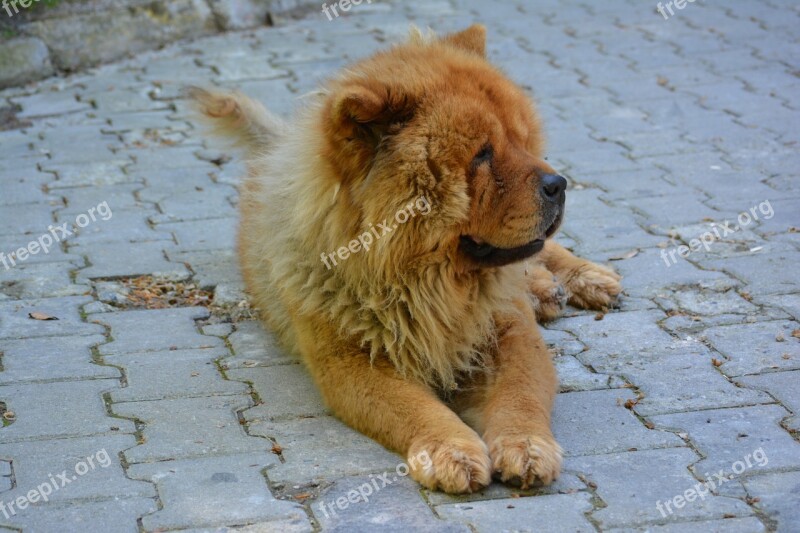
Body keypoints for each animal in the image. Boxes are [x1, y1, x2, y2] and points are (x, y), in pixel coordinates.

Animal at [191, 23, 620, 490]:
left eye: (523, 142)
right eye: (482, 155)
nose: (558, 184)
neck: (426, 282)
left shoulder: (511, 333)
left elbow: (520, 395)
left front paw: (526, 447)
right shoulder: (350, 363)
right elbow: (418, 409)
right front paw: (453, 452)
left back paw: (585, 280)